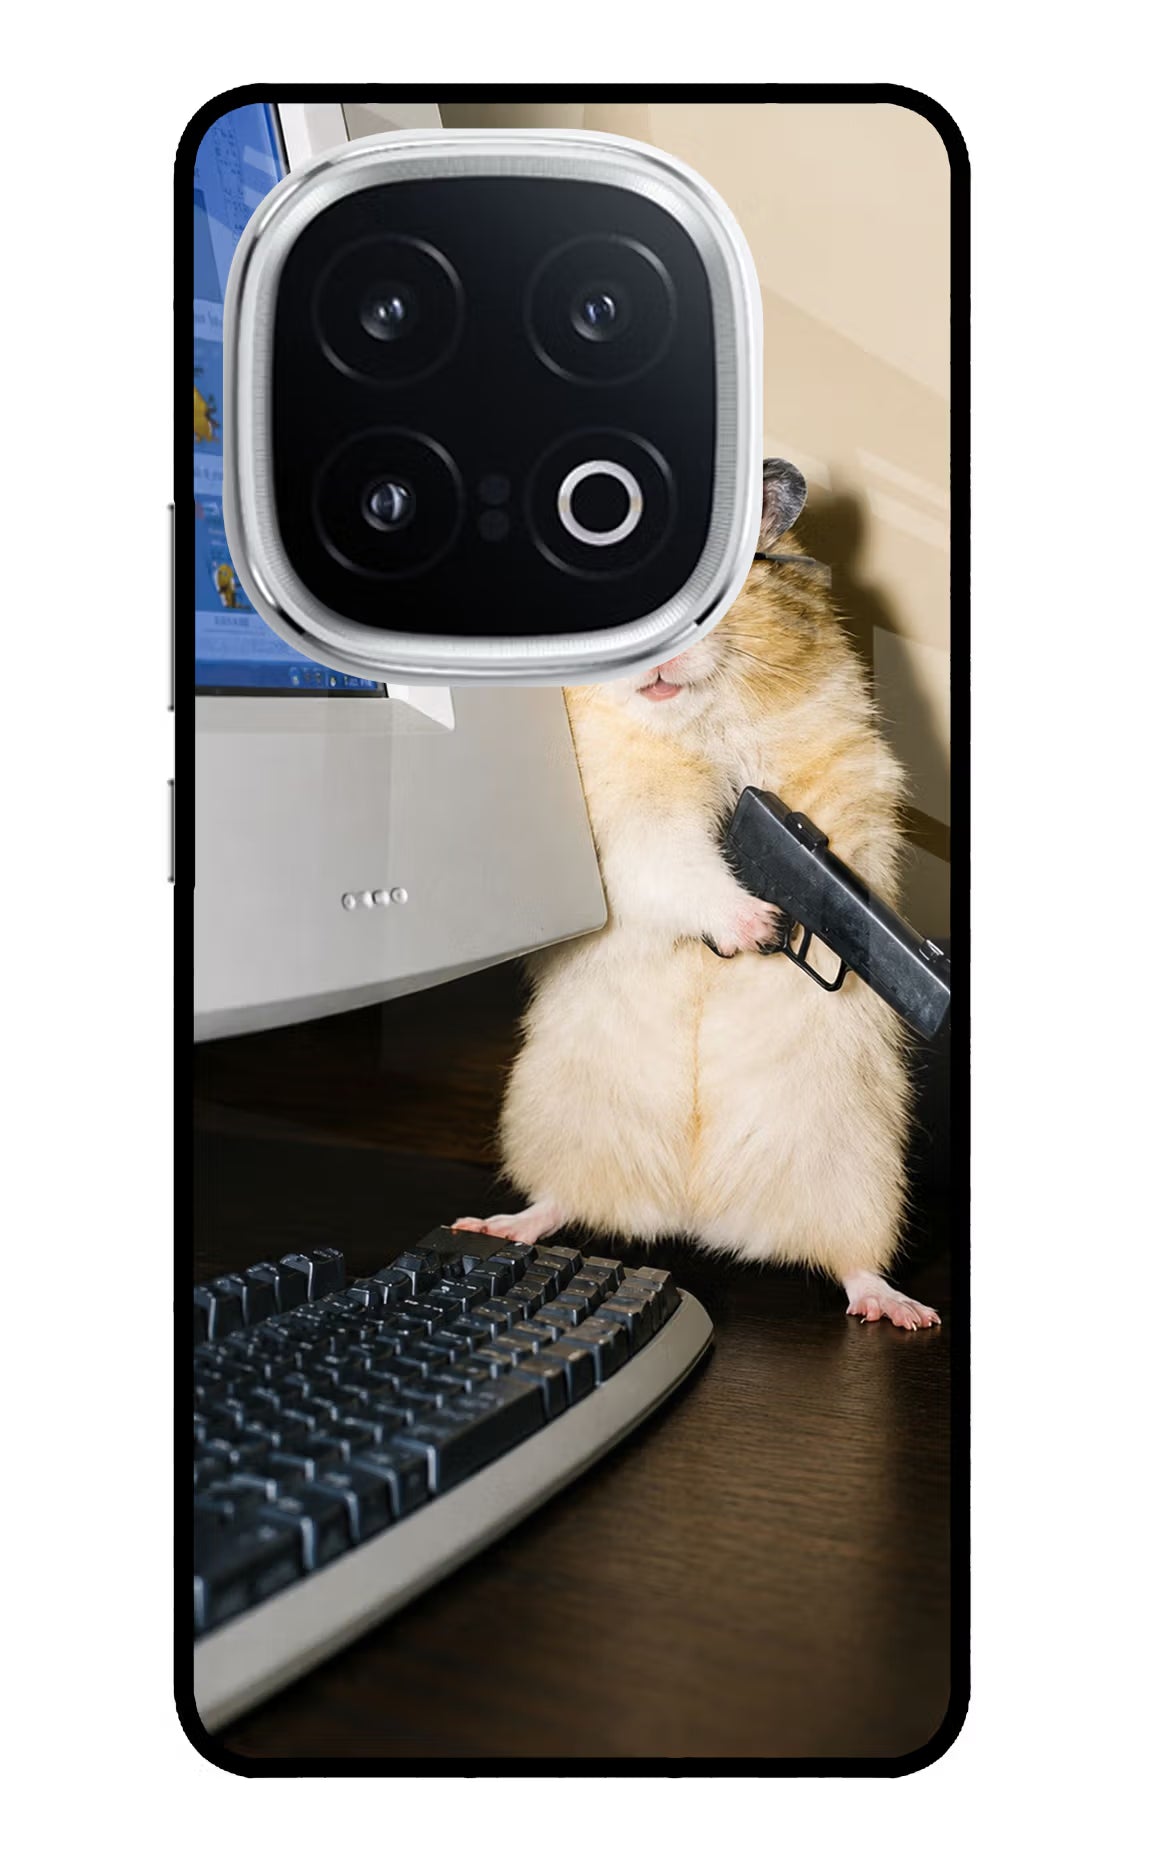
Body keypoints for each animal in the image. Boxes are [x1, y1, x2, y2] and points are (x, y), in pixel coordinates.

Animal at [456, 461, 940, 1330]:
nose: (653, 666)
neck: (693, 721)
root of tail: (695, 1213)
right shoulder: (626, 822)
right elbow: (679, 865)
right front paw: (758, 925)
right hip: (556, 1120)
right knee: (560, 1201)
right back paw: (495, 1224)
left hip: (858, 1170)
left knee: (852, 1262)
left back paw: (902, 1310)